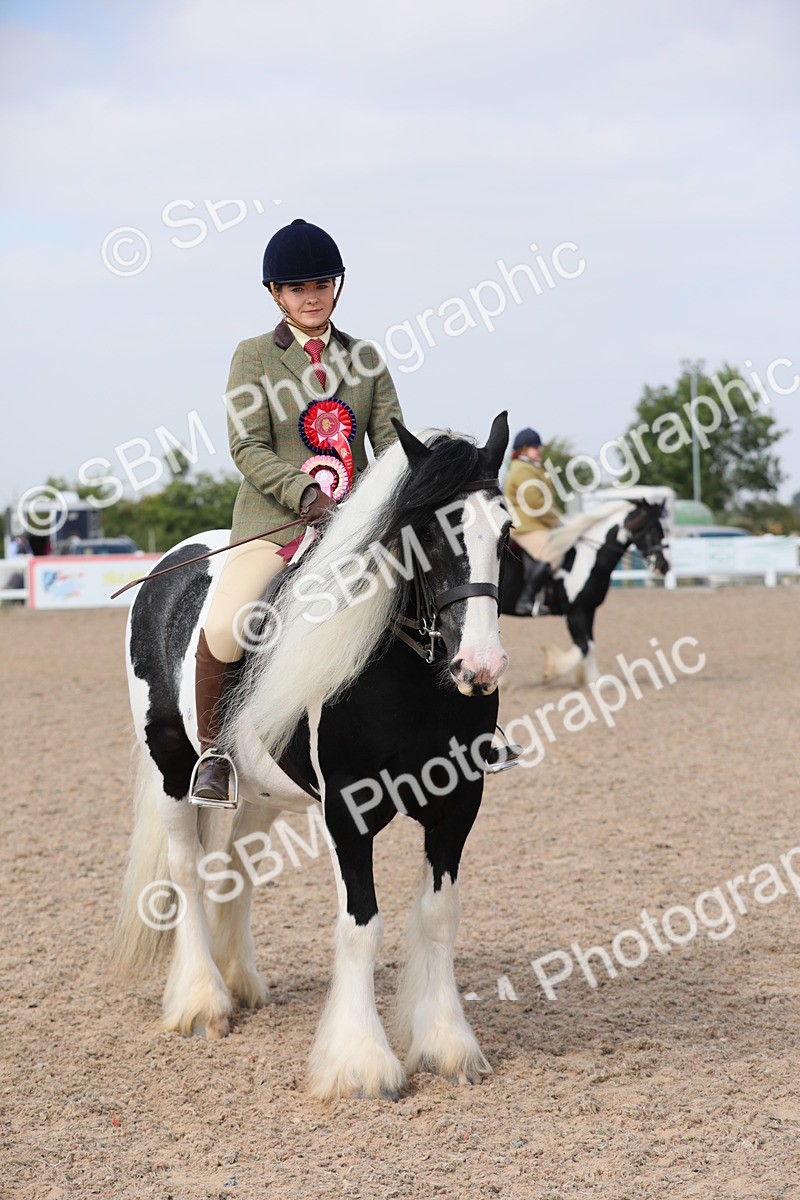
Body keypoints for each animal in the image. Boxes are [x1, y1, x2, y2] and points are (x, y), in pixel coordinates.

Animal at [114, 413, 512, 1101]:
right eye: (429, 534)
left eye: (505, 531)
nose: (479, 669)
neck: (408, 674)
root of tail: (174, 563)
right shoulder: (349, 810)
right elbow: (362, 926)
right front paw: (360, 1064)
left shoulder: (457, 804)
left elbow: (439, 915)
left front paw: (446, 1045)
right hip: (170, 768)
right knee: (188, 870)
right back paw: (202, 1002)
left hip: (258, 789)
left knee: (235, 869)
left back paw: (241, 983)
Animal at [500, 498, 670, 686]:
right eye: (652, 529)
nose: (664, 566)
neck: (587, 558)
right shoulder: (575, 611)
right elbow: (583, 646)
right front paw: (553, 669)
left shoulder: (589, 609)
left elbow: (590, 644)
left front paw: (595, 679)